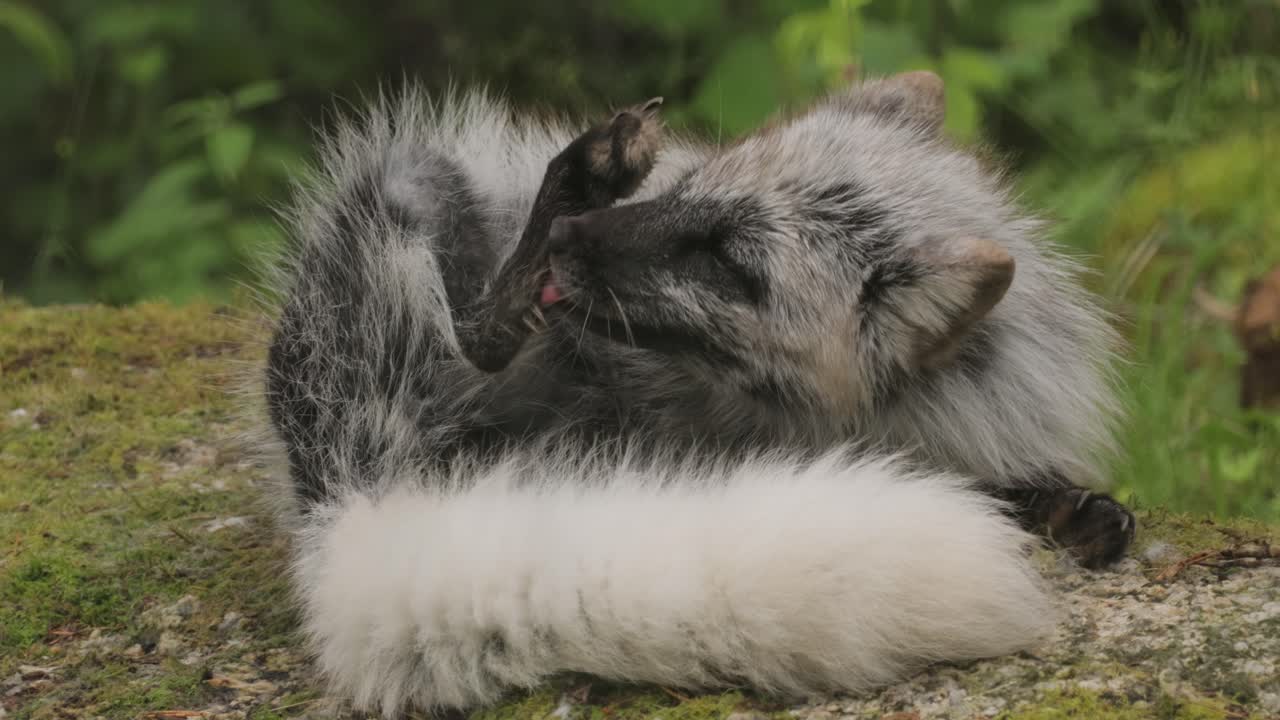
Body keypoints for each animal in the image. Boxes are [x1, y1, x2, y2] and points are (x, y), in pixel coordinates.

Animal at [257, 72, 1135, 716]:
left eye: (727, 261)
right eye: (696, 186)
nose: (564, 242)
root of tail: (344, 486)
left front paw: (1072, 508)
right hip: (413, 187)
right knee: (478, 336)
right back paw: (579, 176)